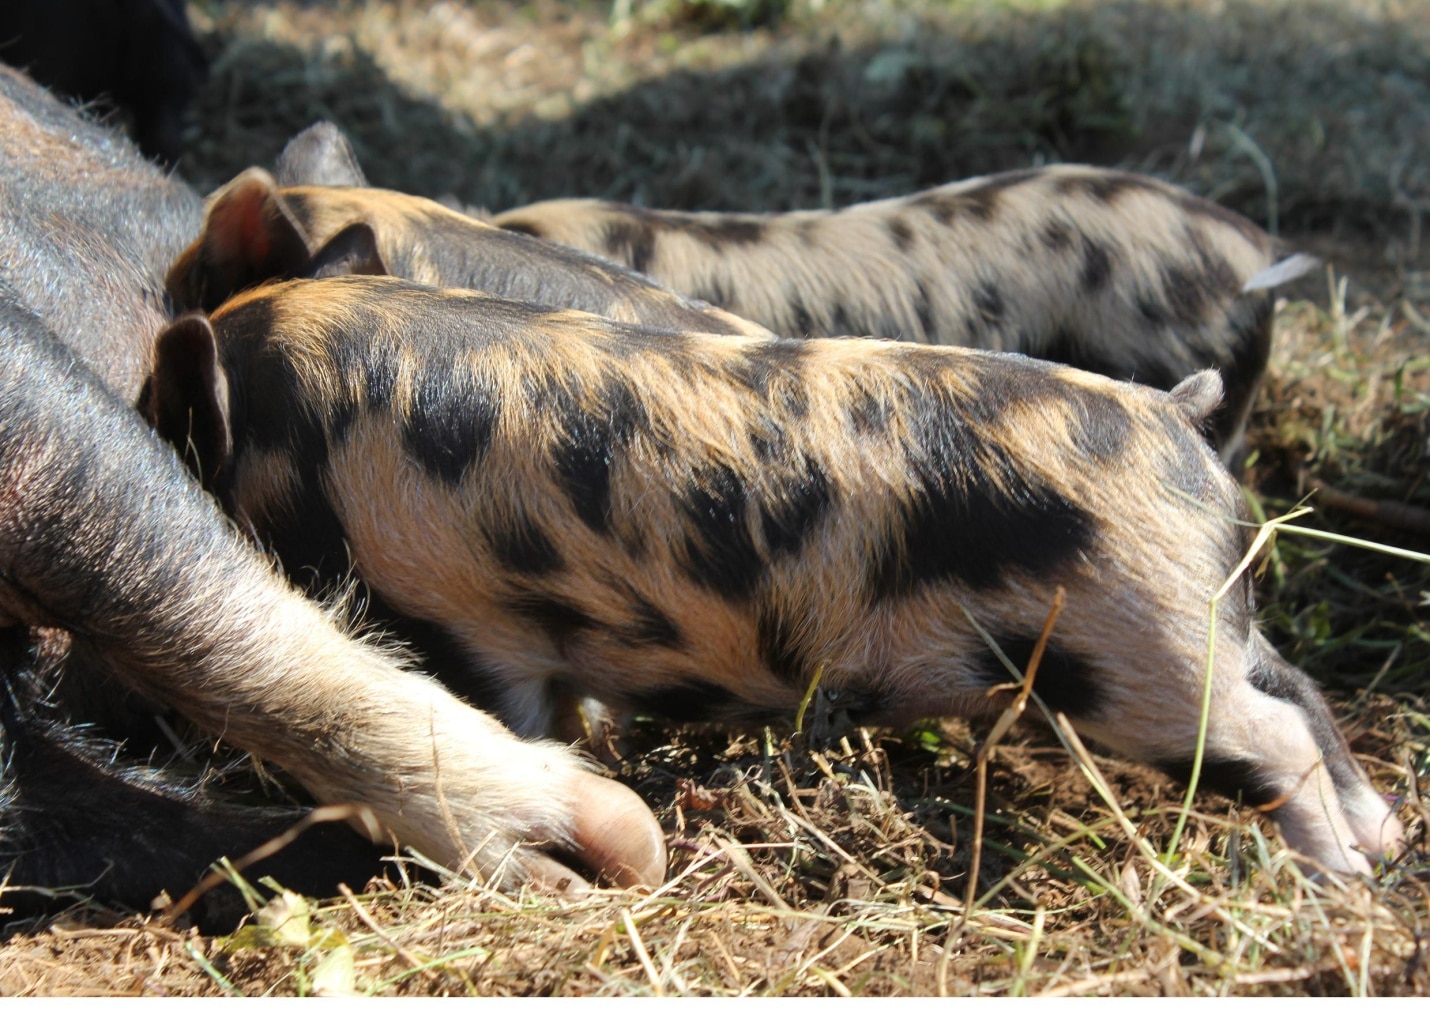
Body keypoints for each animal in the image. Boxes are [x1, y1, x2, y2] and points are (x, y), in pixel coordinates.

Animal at [148, 272, 1405, 879]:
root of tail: (1171, 417)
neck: (309, 428)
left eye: (172, 412)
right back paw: (1384, 843)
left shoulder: (471, 626)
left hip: (1135, 651)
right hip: (1196, 618)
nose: (145, 418)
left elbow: (513, 718)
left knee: (1267, 732)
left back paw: (1334, 880)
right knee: (1299, 690)